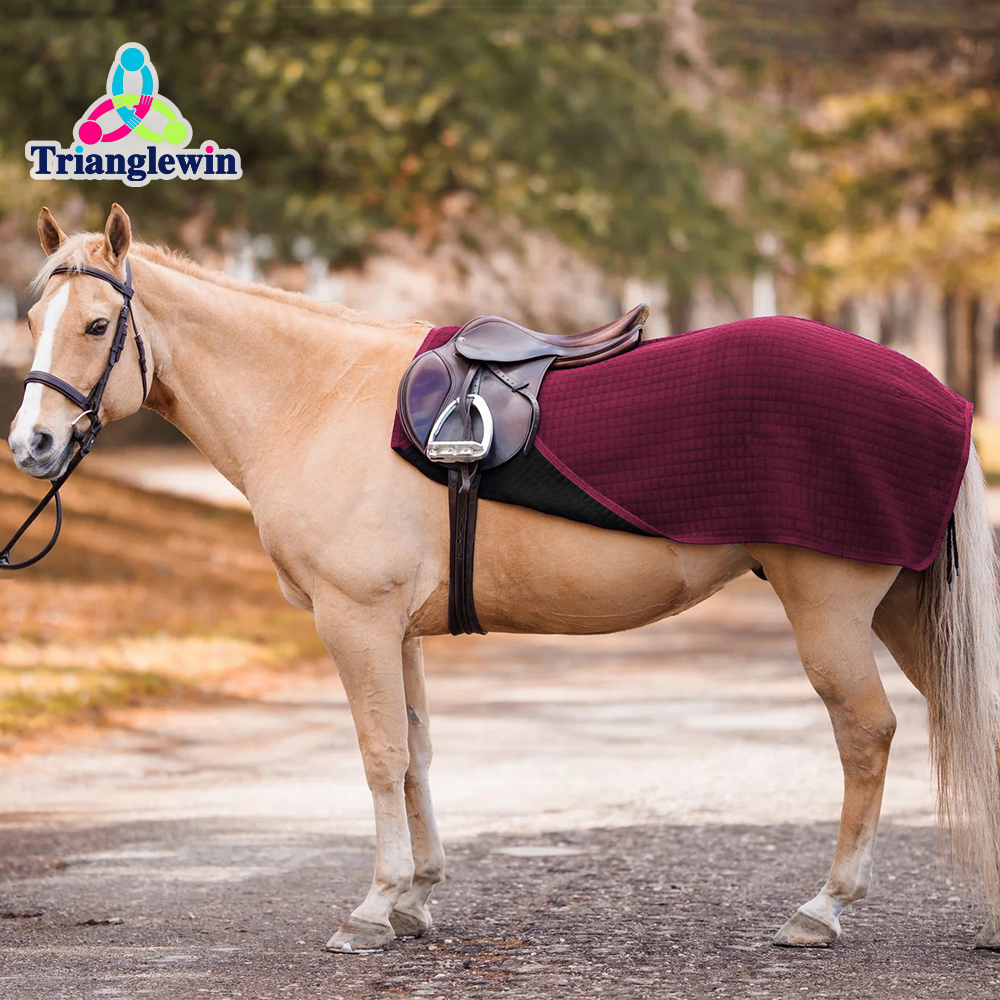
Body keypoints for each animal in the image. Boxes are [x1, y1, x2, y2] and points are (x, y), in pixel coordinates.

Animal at [7, 204, 1000, 953]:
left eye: (97, 325)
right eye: (32, 322)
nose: (32, 446)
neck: (317, 397)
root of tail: (942, 397)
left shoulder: (355, 622)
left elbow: (379, 755)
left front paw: (374, 908)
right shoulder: (396, 631)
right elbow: (415, 755)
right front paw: (416, 896)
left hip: (831, 612)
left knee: (867, 736)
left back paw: (823, 909)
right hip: (904, 609)